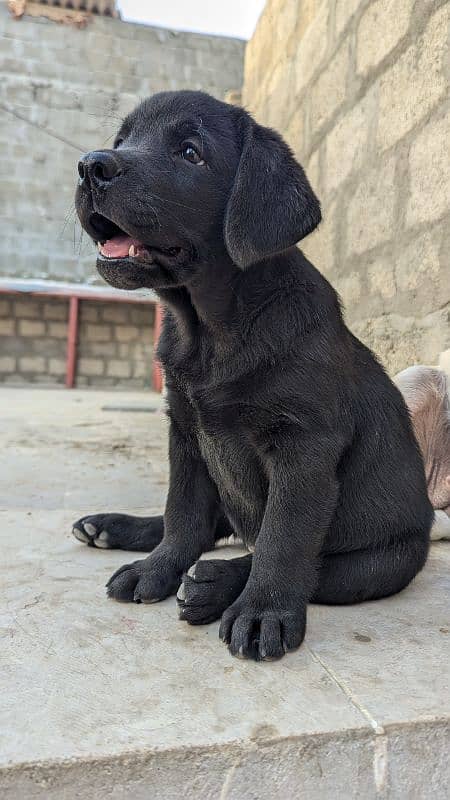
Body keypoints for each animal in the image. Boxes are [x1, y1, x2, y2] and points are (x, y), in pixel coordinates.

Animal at [73, 89, 432, 664]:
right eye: (122, 140)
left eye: (191, 153)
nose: (90, 166)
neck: (211, 329)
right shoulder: (186, 432)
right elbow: (181, 514)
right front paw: (156, 570)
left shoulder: (303, 446)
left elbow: (283, 540)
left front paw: (263, 612)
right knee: (209, 527)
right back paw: (112, 529)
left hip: (385, 559)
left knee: (307, 562)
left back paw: (213, 585)